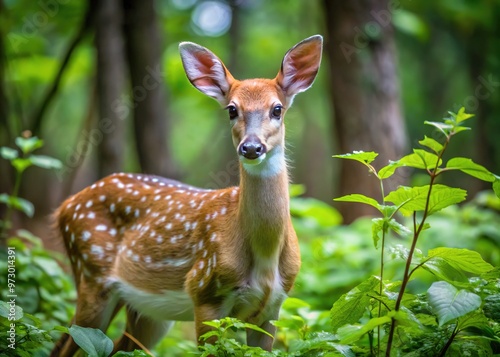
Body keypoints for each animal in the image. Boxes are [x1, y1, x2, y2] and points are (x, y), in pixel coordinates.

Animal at [51, 34, 324, 356]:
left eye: (277, 109)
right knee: (69, 342)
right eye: (232, 109)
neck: (264, 255)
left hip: (146, 310)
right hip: (91, 271)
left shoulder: (272, 307)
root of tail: (64, 207)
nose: (251, 147)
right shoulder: (204, 292)